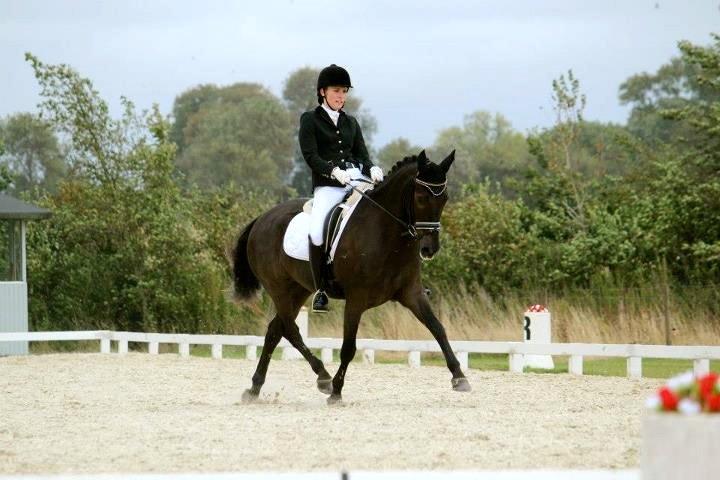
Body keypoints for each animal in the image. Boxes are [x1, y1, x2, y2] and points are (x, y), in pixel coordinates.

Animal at [231, 150, 471, 404]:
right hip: (279, 289)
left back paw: (255, 388)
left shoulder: (412, 293)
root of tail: (261, 219)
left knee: (275, 331)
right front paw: (336, 391)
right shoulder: (356, 299)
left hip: (298, 290)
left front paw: (459, 377)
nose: (429, 249)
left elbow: (437, 328)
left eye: (444, 198)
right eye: (421, 198)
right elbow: (348, 347)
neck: (387, 235)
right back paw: (324, 378)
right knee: (290, 330)